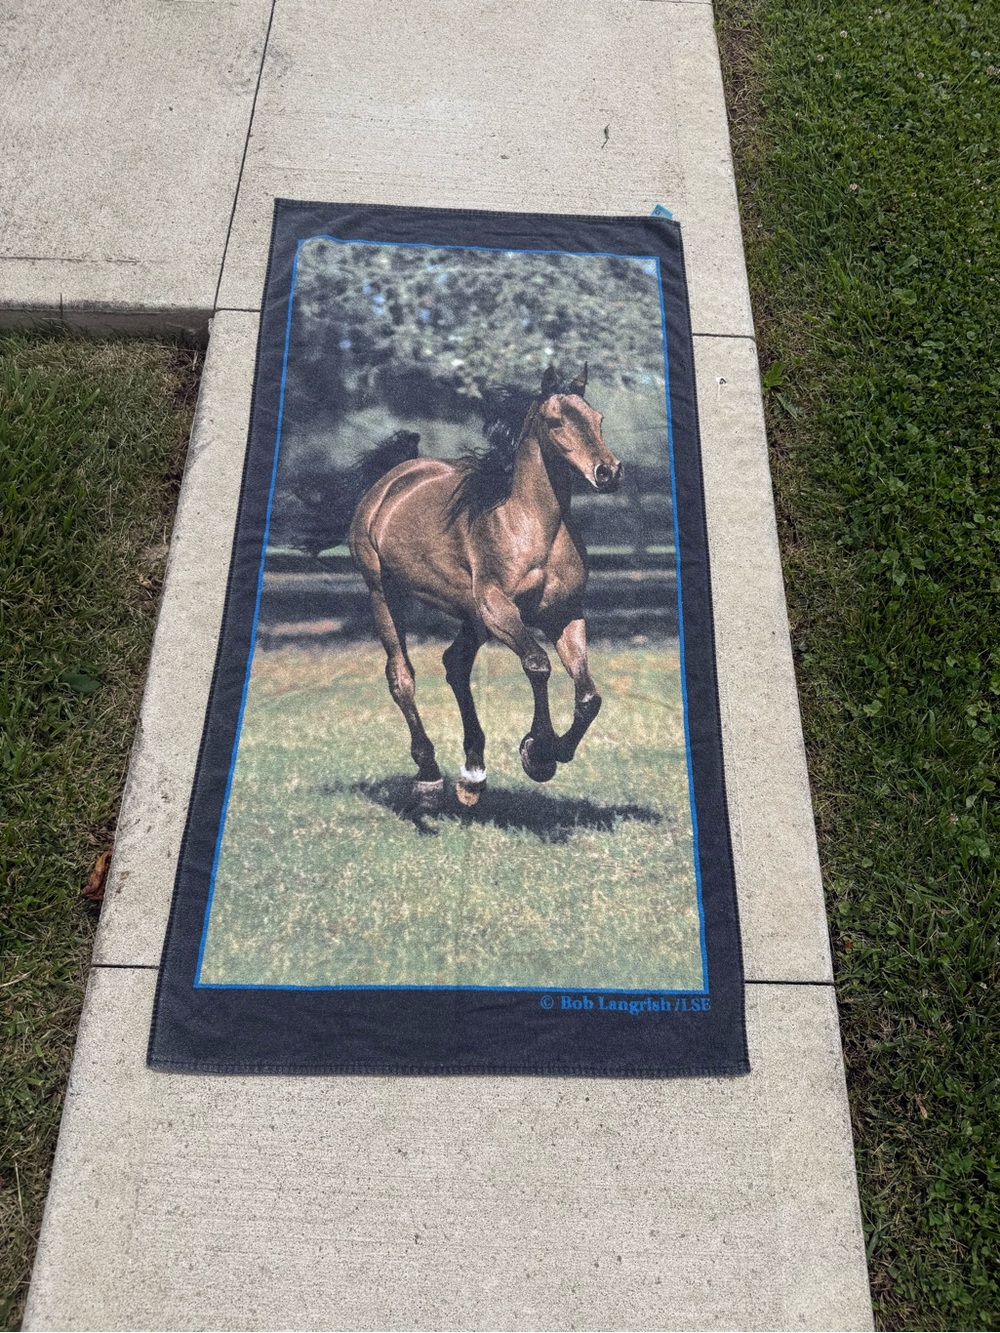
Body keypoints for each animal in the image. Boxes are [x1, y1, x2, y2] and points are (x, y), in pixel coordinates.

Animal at [349, 364, 623, 811]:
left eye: (598, 418)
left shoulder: (565, 615)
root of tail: (390, 482)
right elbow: (538, 664)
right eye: (555, 421)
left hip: (469, 615)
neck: (530, 525)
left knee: (455, 665)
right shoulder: (498, 608)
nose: (608, 472)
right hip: (384, 594)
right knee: (401, 676)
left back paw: (473, 775)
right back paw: (428, 778)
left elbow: (588, 696)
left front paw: (553, 751)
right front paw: (538, 753)